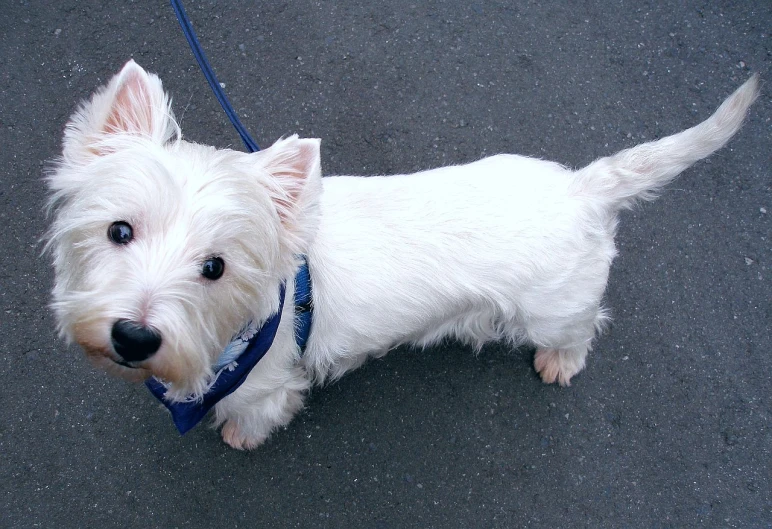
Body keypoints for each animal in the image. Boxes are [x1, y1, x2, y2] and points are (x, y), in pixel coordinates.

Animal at [48, 62, 760, 450]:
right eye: (119, 230)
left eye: (214, 267)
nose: (134, 337)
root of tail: (582, 187)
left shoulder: (267, 382)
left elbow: (255, 411)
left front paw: (238, 434)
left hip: (553, 309)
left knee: (581, 330)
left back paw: (559, 362)